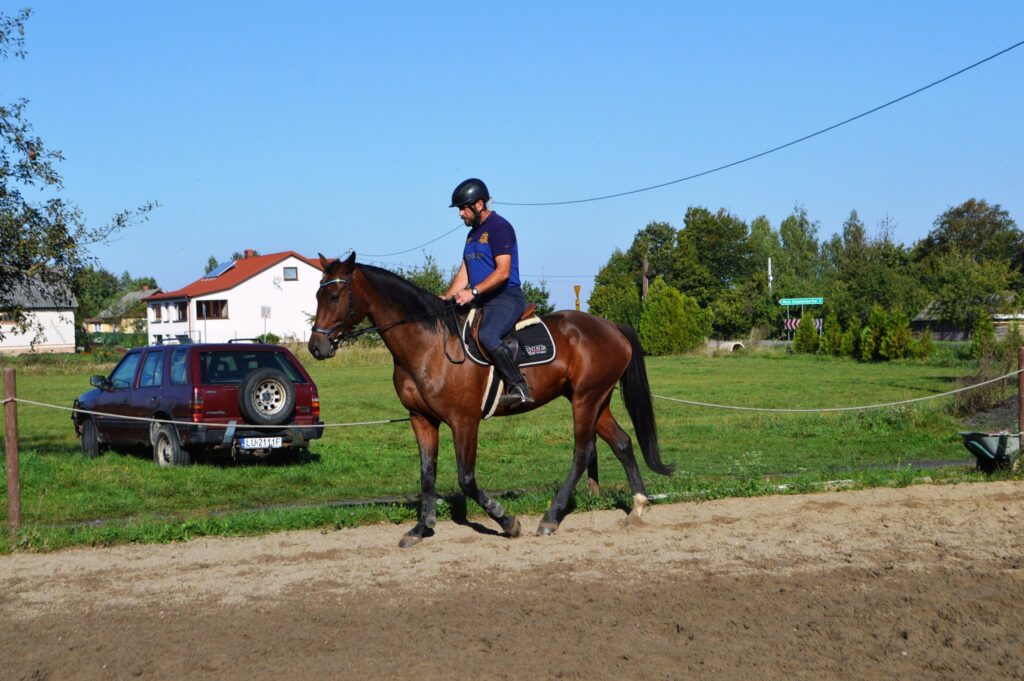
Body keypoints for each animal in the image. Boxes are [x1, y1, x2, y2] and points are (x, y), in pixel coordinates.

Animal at [305, 250, 671, 548]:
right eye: (317, 293)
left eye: (335, 295)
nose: (316, 347)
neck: (428, 344)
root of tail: (611, 326)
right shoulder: (422, 419)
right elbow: (427, 473)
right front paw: (422, 528)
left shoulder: (463, 420)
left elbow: (466, 479)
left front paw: (507, 521)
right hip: (597, 399)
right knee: (622, 443)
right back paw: (638, 506)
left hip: (585, 400)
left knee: (583, 453)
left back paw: (551, 518)